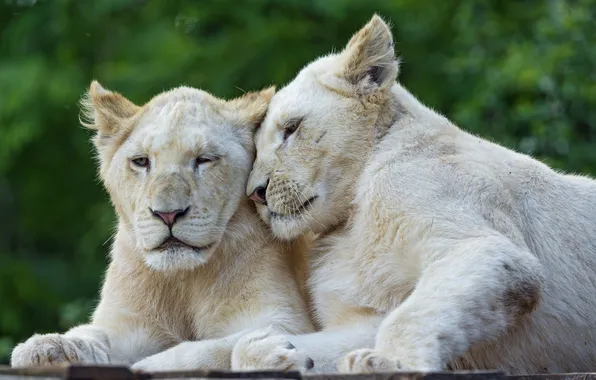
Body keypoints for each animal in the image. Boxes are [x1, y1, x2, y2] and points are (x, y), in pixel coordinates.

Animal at [9, 81, 316, 372]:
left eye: (204, 159)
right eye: (141, 161)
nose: (167, 214)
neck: (182, 280)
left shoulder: (282, 317)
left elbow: (205, 349)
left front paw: (272, 353)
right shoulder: (127, 326)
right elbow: (93, 336)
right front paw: (45, 347)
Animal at [232, 14, 596, 374]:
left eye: (291, 128)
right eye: (256, 148)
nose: (255, 193)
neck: (351, 221)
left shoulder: (485, 245)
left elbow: (412, 315)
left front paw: (386, 363)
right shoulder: (366, 313)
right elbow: (256, 348)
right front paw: (275, 352)